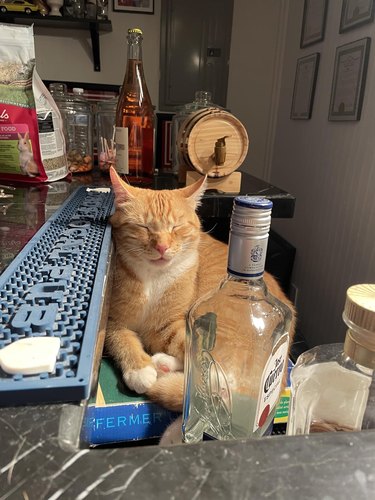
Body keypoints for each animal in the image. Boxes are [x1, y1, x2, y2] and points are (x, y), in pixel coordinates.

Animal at [106, 168, 296, 418]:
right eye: (144, 227)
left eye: (176, 227)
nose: (162, 247)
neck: (153, 277)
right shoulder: (113, 323)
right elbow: (123, 341)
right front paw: (140, 369)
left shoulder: (170, 324)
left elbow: (192, 347)